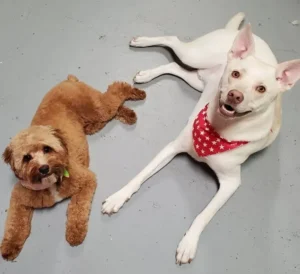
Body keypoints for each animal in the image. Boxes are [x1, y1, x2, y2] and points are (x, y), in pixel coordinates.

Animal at [0, 74, 145, 260]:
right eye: (27, 158)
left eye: (47, 149)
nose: (44, 168)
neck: (50, 182)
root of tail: (68, 80)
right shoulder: (19, 196)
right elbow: (14, 223)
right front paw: (10, 246)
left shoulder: (86, 179)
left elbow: (77, 208)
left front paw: (75, 233)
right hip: (94, 116)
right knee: (111, 111)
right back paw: (127, 114)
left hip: (98, 107)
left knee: (116, 89)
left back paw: (136, 93)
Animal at [101, 12, 300, 264]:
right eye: (236, 74)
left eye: (261, 89)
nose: (235, 95)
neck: (218, 131)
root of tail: (246, 34)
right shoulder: (171, 148)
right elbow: (140, 175)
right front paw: (119, 196)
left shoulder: (231, 183)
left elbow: (204, 215)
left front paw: (189, 243)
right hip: (196, 56)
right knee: (173, 40)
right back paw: (144, 46)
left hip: (198, 80)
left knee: (176, 67)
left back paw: (148, 73)